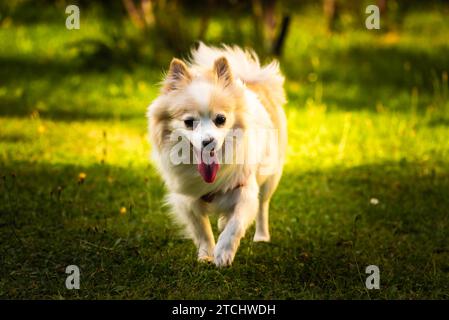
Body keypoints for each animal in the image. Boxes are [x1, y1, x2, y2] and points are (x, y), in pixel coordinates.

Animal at [148, 43, 288, 268]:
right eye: (189, 122)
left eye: (220, 119)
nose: (208, 141)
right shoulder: (187, 200)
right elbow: (201, 230)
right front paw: (206, 254)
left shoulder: (245, 190)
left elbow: (236, 223)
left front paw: (223, 253)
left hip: (270, 178)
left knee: (262, 206)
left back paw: (261, 236)